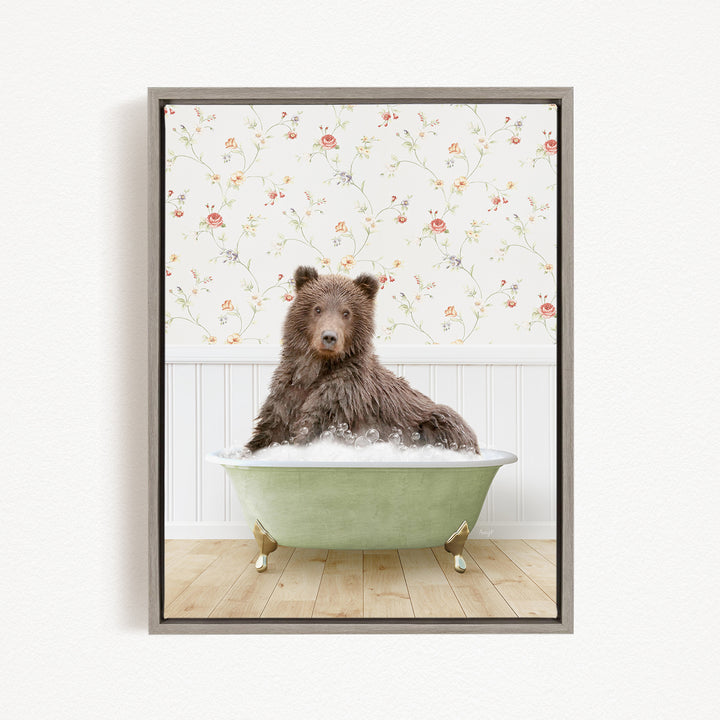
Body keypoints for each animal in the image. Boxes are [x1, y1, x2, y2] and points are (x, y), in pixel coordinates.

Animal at [246, 265, 479, 453]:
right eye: (317, 308)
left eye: (346, 312)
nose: (329, 337)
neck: (316, 369)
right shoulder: (287, 394)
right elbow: (269, 432)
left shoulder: (342, 398)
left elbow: (311, 427)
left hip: (435, 420)